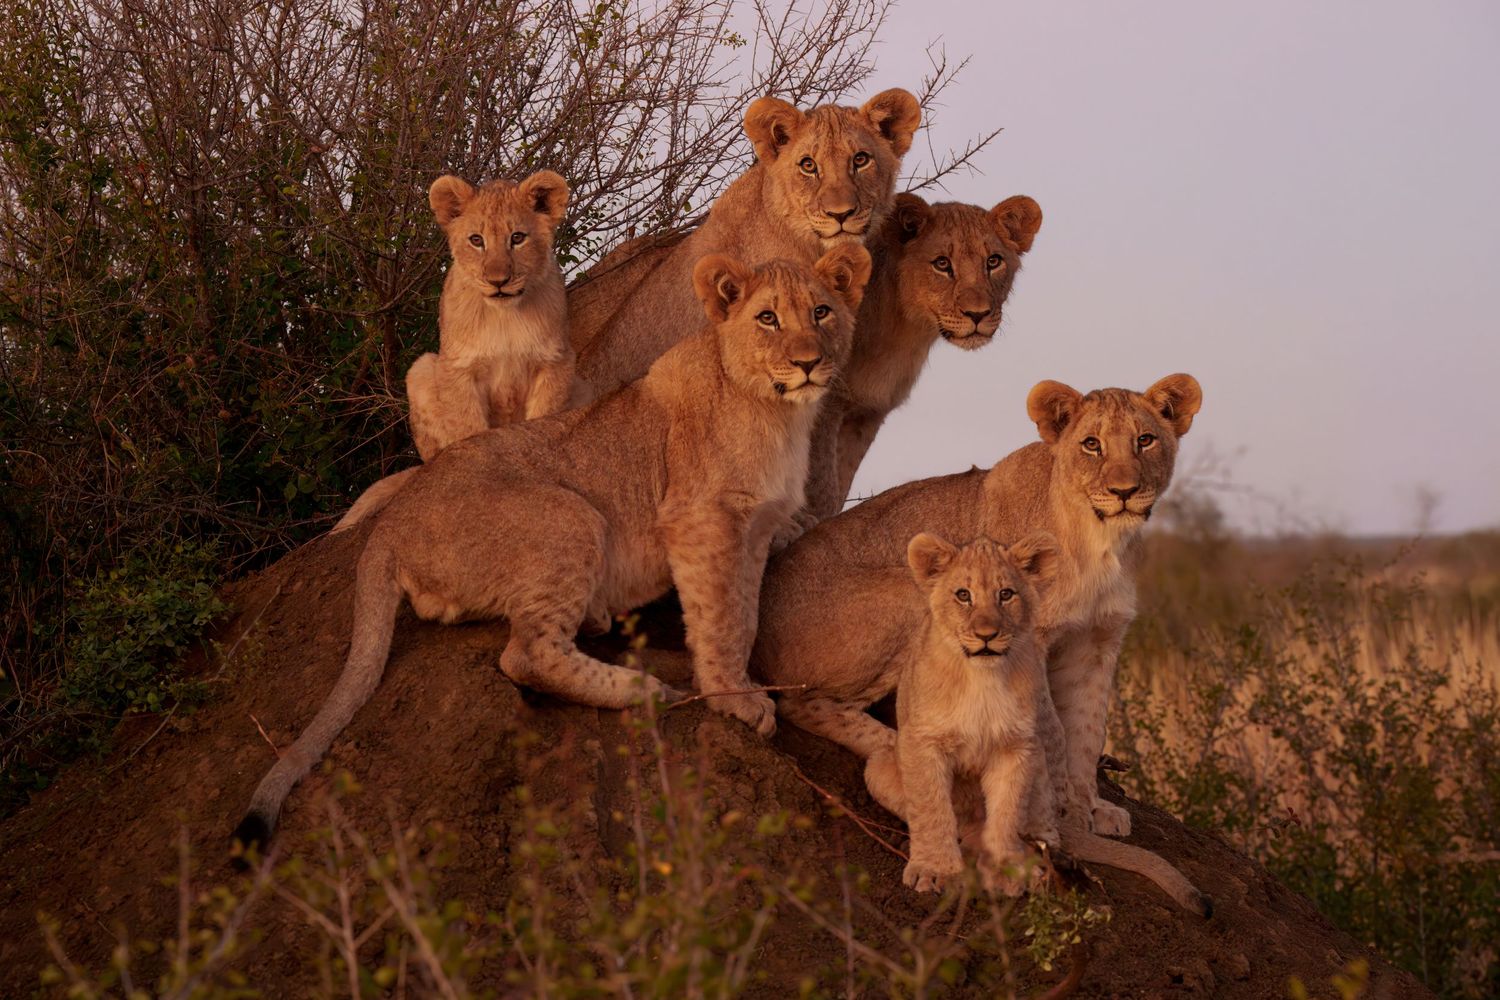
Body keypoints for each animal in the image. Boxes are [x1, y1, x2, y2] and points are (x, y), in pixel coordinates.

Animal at [232, 244, 872, 849]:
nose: (808, 361)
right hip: (572, 515)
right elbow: (721, 620)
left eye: (821, 312)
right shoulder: (699, 519)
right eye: (767, 318)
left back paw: (598, 622)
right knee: (526, 653)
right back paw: (641, 689)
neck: (778, 411)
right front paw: (735, 699)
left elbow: (746, 612)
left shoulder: (756, 530)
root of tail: (392, 522)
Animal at [407, 170, 577, 462]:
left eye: (517, 238)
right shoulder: (458, 369)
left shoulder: (555, 361)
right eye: (476, 240)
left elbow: (544, 417)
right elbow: (469, 429)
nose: (498, 281)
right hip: (421, 368)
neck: (504, 316)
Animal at [752, 374, 1204, 839]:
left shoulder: (1097, 640)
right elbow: (1053, 731)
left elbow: (1088, 729)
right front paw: (1058, 812)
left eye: (1145, 440)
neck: (1100, 541)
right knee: (802, 703)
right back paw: (899, 751)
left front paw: (1090, 809)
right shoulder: (1028, 636)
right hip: (916, 596)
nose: (1124, 491)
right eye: (1091, 444)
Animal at [803, 192, 1044, 519]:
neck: (900, 327)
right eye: (942, 264)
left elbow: (839, 487)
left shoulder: (867, 412)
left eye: (993, 261)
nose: (978, 314)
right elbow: (820, 490)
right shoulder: (823, 404)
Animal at [883, 532, 1211, 915]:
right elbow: (931, 808)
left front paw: (1004, 870)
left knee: (1049, 829)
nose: (986, 634)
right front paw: (934, 870)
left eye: (1006, 594)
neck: (981, 677)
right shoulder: (923, 741)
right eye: (963, 595)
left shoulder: (1017, 744)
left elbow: (1007, 809)